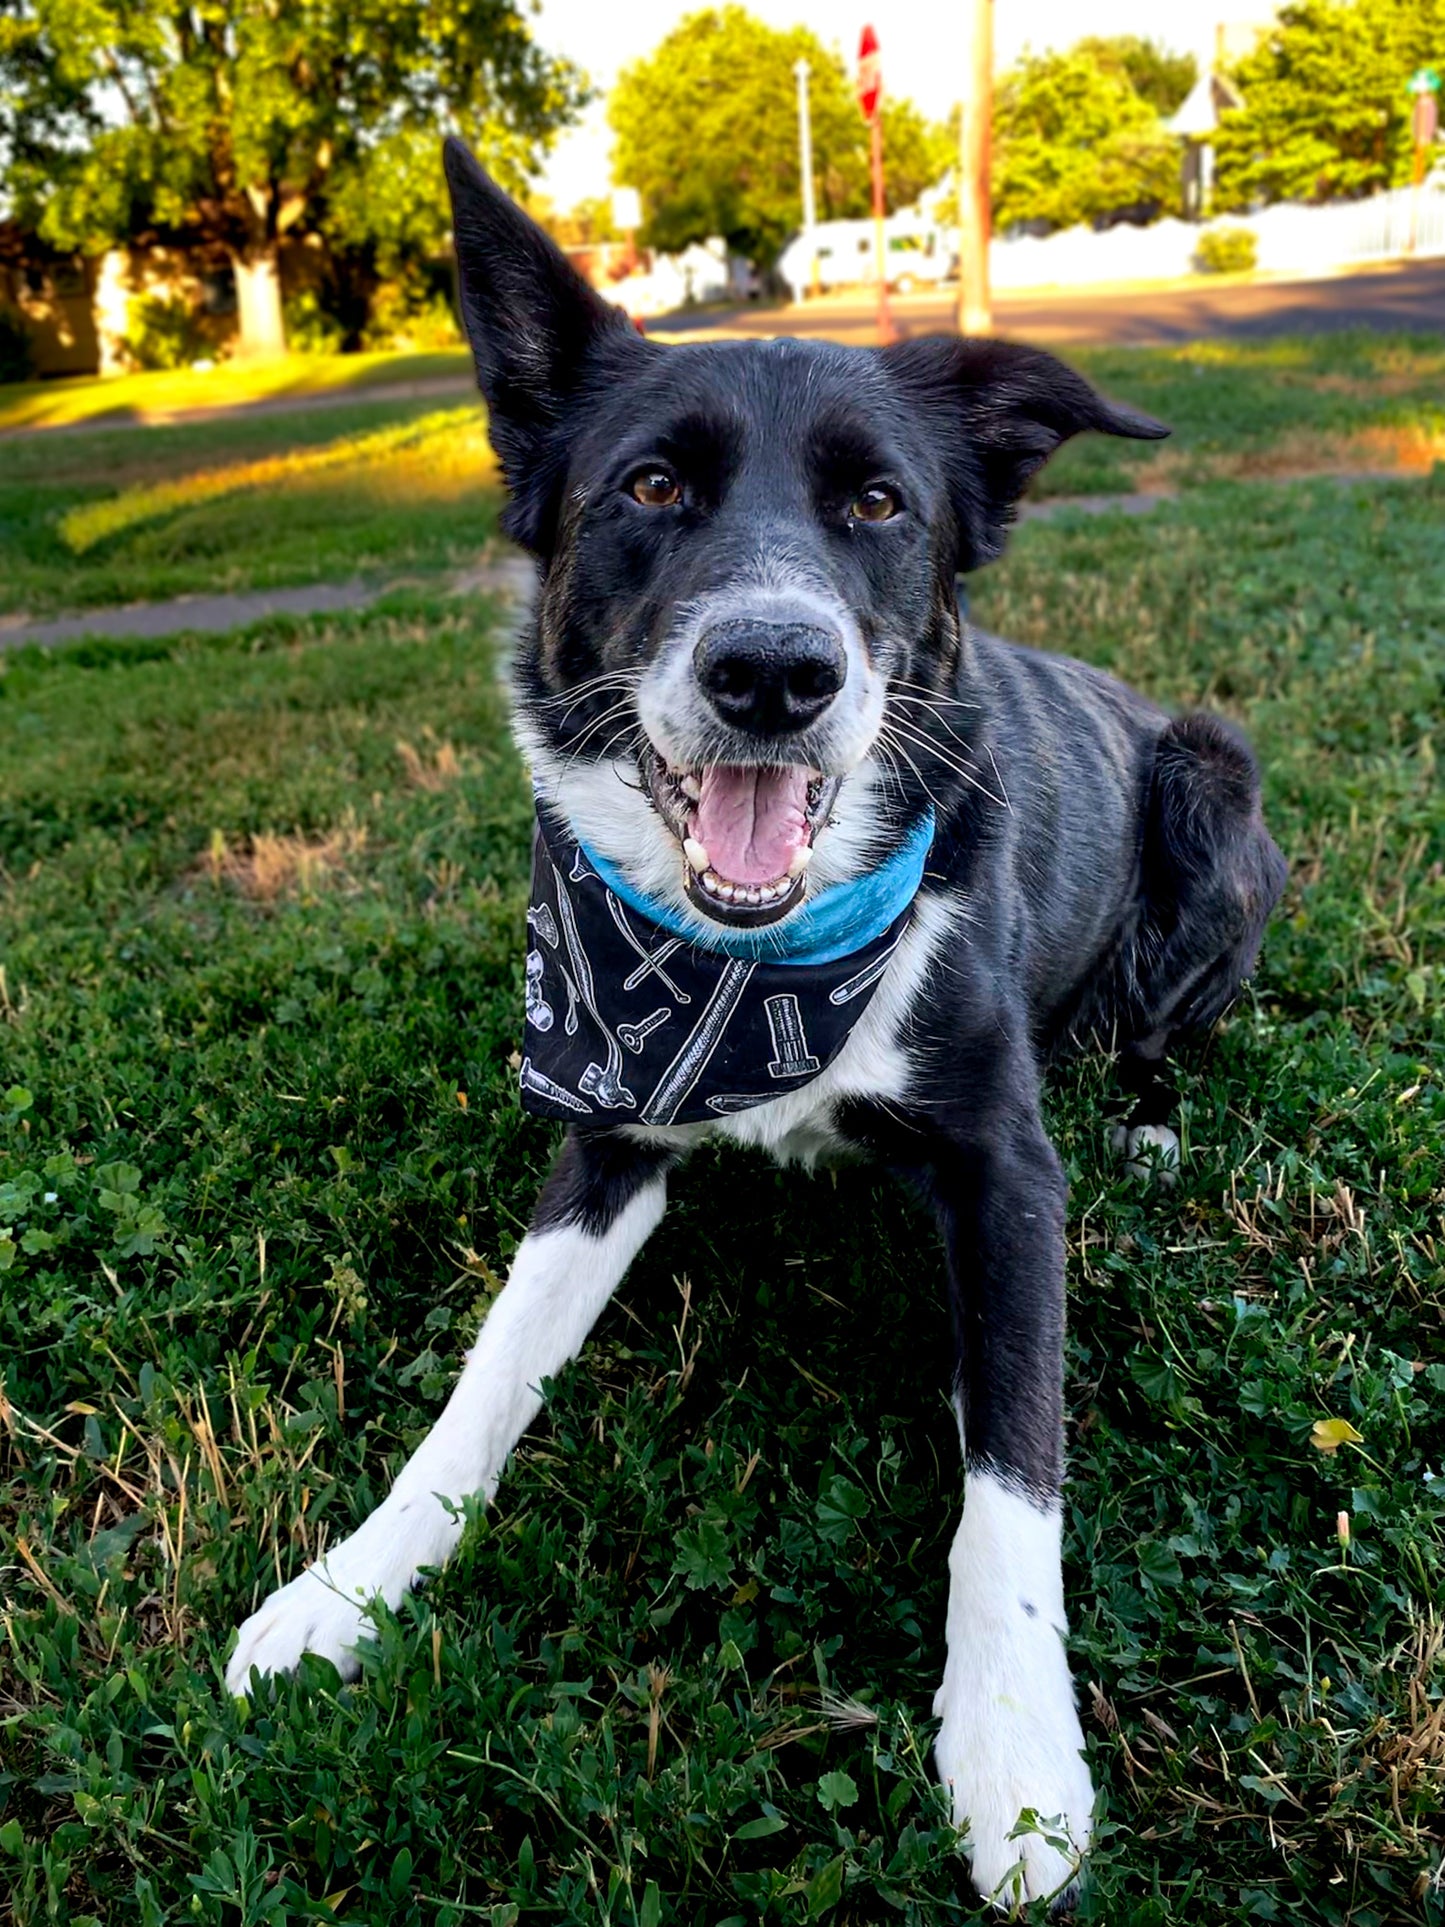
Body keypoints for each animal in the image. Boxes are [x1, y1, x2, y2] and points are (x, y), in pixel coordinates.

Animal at [232, 146, 1294, 1911]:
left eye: (879, 505)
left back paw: (1147, 1118)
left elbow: (1014, 1464)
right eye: (651, 487)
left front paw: (1016, 1756)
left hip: (1214, 780)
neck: (760, 964)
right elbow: (483, 1378)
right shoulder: (604, 1128)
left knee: (1160, 1034)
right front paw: (348, 1583)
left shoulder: (1005, 1172)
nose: (773, 671)